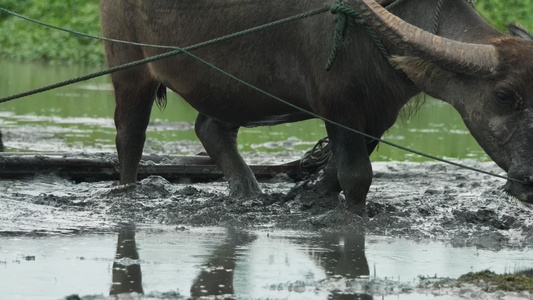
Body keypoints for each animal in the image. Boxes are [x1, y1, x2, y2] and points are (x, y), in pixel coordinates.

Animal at [100, 0, 532, 216]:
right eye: (503, 95)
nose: (528, 181)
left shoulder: (376, 116)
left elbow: (337, 172)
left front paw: (309, 197)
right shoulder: (338, 107)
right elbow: (357, 176)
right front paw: (351, 215)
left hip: (226, 88)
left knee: (210, 128)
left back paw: (248, 192)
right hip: (130, 70)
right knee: (130, 137)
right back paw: (127, 190)